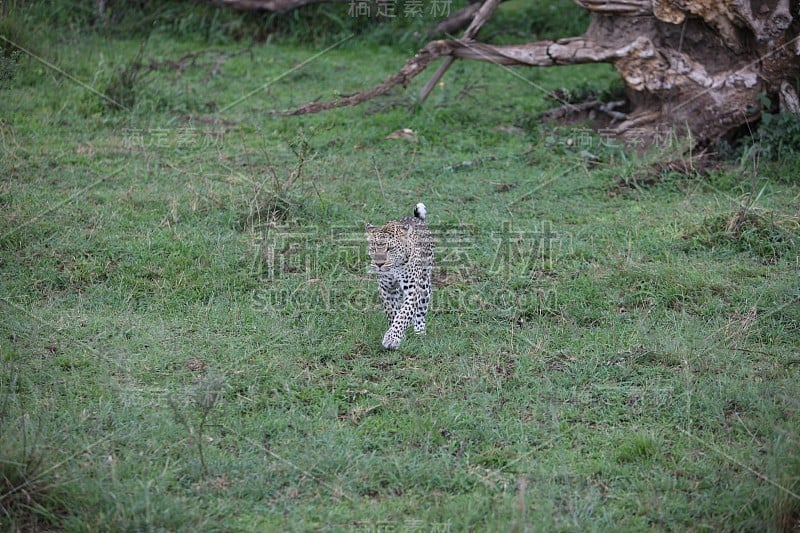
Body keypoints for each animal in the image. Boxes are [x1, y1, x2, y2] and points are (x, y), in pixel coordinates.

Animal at [366, 203, 434, 350]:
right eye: (373, 248)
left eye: (390, 249)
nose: (379, 264)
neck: (393, 268)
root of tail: (417, 219)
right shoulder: (386, 289)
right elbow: (392, 311)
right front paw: (398, 335)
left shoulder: (413, 290)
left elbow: (404, 313)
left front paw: (392, 338)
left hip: (425, 284)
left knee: (420, 311)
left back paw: (420, 331)